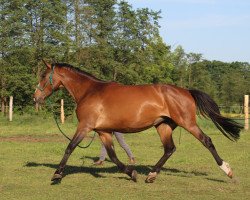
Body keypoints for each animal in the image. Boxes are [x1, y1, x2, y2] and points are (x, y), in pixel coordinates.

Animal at [33, 61, 242, 183]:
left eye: (43, 76)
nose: (36, 97)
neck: (89, 91)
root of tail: (186, 91)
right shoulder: (103, 131)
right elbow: (113, 156)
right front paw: (131, 173)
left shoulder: (85, 126)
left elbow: (70, 147)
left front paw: (57, 174)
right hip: (163, 125)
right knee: (169, 149)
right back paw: (151, 175)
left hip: (187, 123)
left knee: (206, 141)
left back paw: (227, 170)